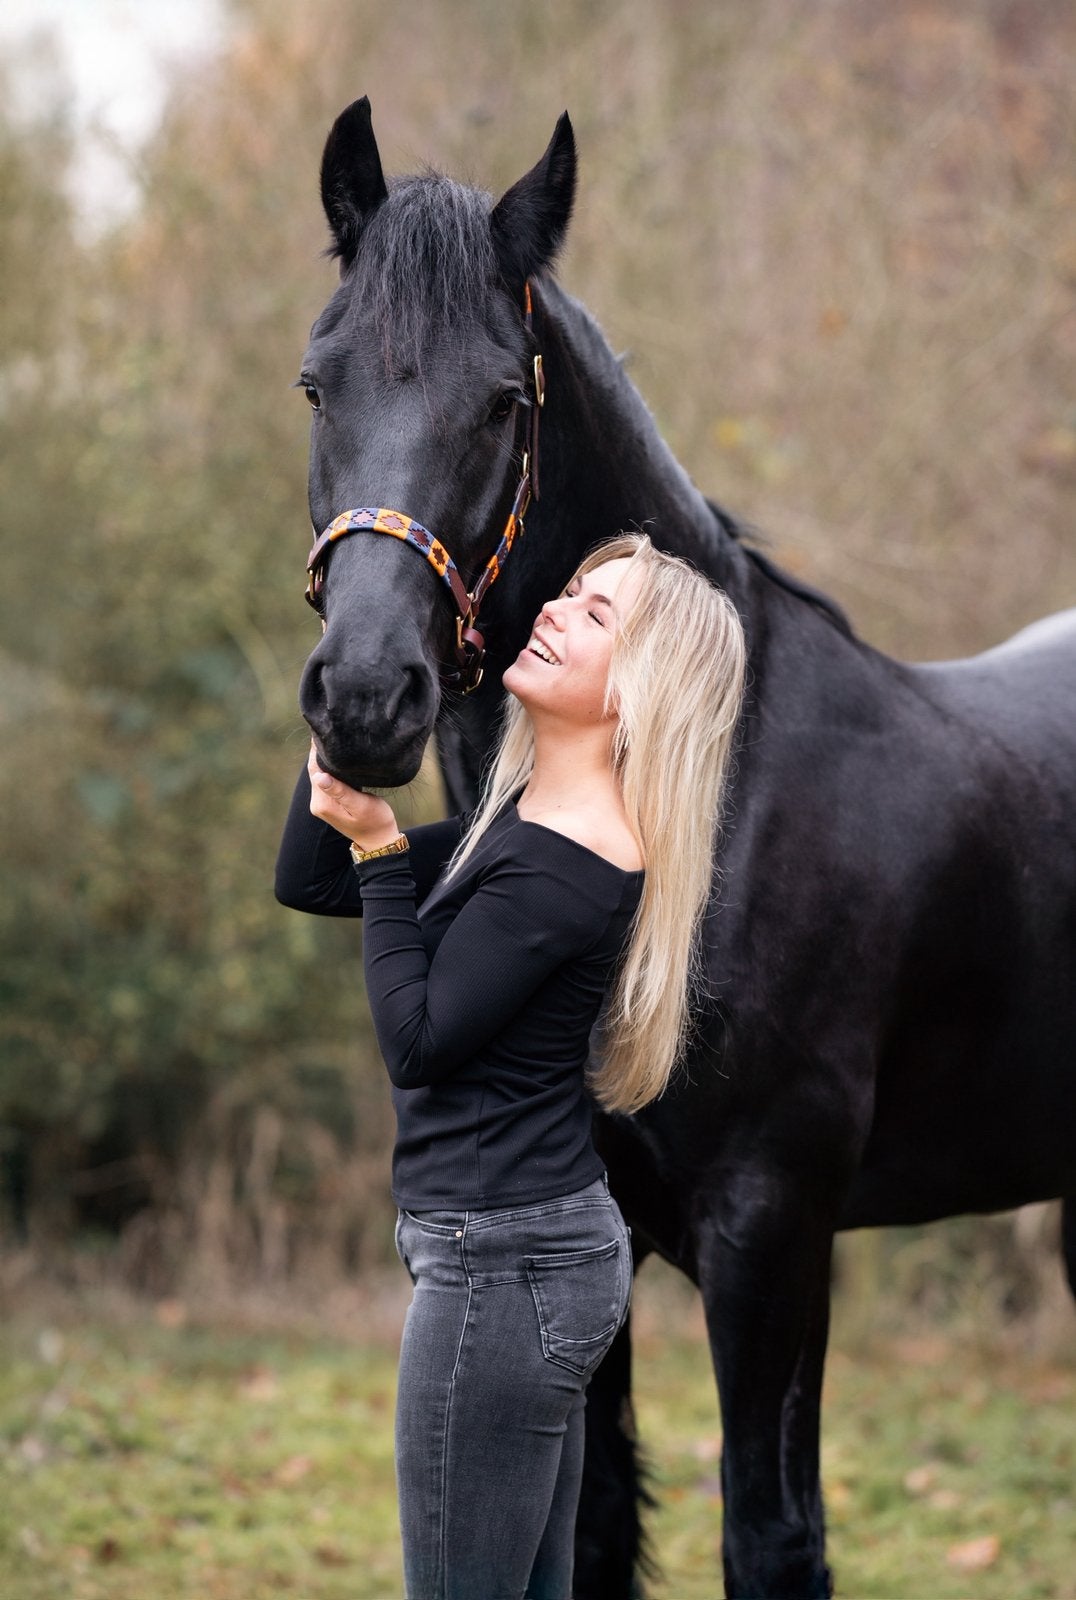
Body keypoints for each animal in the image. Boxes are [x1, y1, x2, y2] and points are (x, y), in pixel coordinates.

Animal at [293, 98, 1076, 1599]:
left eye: (506, 401)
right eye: (317, 385)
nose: (364, 698)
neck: (719, 792)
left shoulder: (769, 1236)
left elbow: (770, 1537)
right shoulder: (586, 1233)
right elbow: (589, 1521)